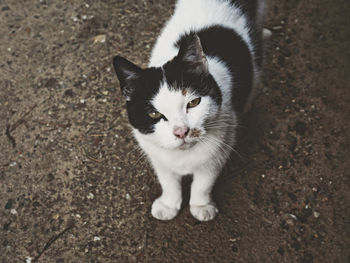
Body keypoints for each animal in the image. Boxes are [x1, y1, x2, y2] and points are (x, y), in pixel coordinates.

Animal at [113, 0, 266, 223]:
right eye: (154, 114)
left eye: (193, 103)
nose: (181, 132)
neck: (183, 157)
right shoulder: (156, 155)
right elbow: (168, 180)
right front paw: (169, 204)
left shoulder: (219, 150)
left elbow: (204, 182)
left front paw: (201, 205)